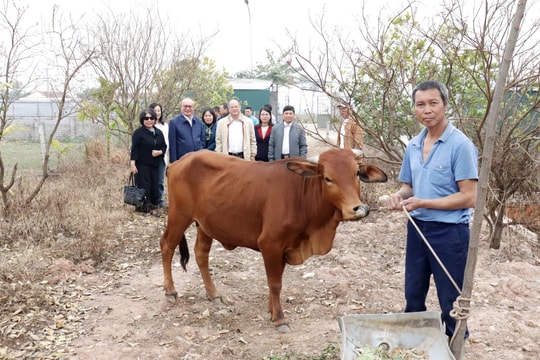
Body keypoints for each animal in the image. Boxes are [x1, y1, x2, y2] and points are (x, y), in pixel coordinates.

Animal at [158, 148, 386, 330]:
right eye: (327, 178)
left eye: (356, 173)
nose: (358, 209)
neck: (301, 195)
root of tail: (178, 161)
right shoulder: (270, 243)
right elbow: (275, 283)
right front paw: (279, 318)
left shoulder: (285, 247)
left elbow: (275, 281)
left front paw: (271, 310)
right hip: (179, 216)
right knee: (167, 245)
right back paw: (170, 291)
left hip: (205, 225)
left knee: (201, 254)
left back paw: (213, 294)